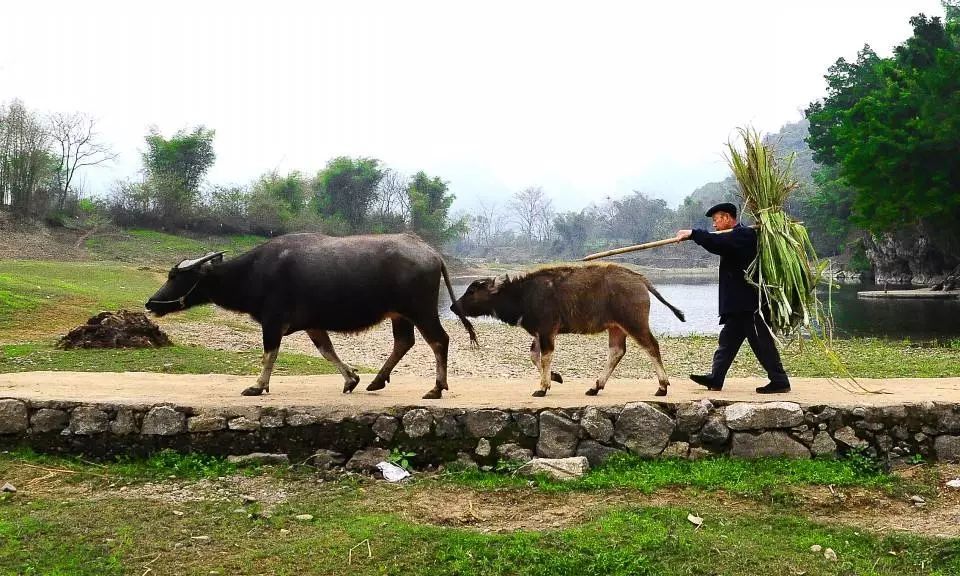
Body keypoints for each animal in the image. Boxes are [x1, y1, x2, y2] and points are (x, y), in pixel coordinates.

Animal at [148, 232, 478, 398]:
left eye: (175, 276)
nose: (151, 303)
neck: (253, 272)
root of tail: (432, 253)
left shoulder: (272, 322)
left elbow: (269, 354)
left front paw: (258, 386)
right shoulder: (312, 325)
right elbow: (327, 351)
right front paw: (352, 379)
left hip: (420, 311)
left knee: (439, 340)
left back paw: (436, 388)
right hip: (399, 314)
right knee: (404, 342)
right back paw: (376, 381)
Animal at [454, 264, 688, 396]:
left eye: (472, 291)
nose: (453, 306)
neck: (523, 294)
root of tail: (639, 278)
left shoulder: (547, 330)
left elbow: (545, 356)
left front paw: (542, 387)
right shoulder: (540, 332)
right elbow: (534, 356)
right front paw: (555, 377)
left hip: (634, 323)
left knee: (651, 346)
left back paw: (662, 387)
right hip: (616, 327)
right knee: (617, 351)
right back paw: (596, 386)